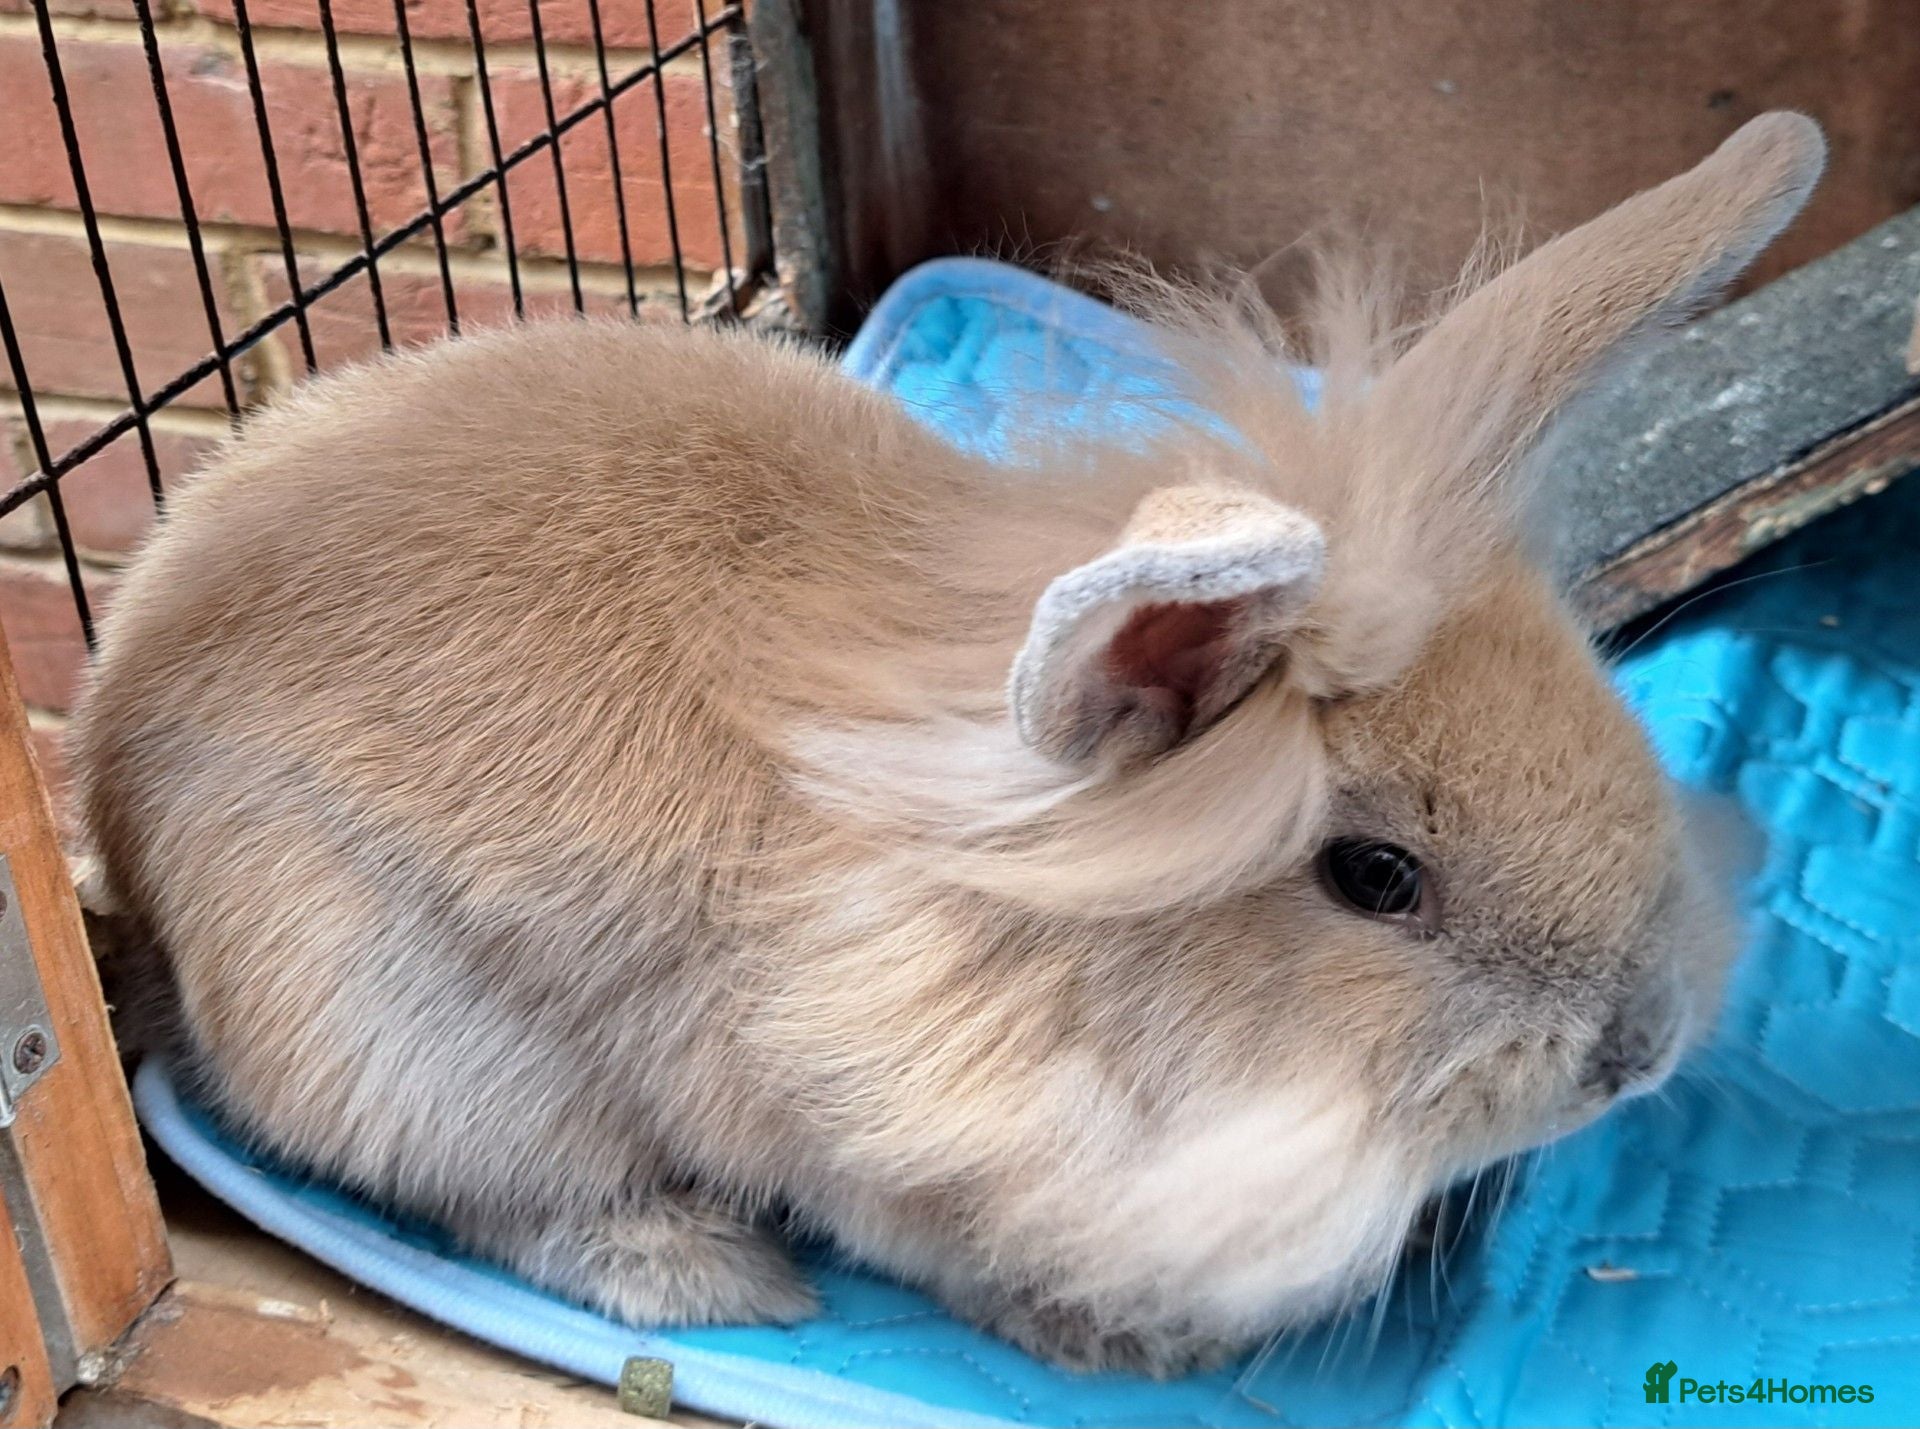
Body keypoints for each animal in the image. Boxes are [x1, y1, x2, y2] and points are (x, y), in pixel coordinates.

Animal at [71, 112, 1821, 1377]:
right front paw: (1129, 1348)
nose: (1640, 1048)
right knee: (487, 1199)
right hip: (397, 1038)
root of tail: (114, 815)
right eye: (1376, 878)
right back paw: (714, 1277)